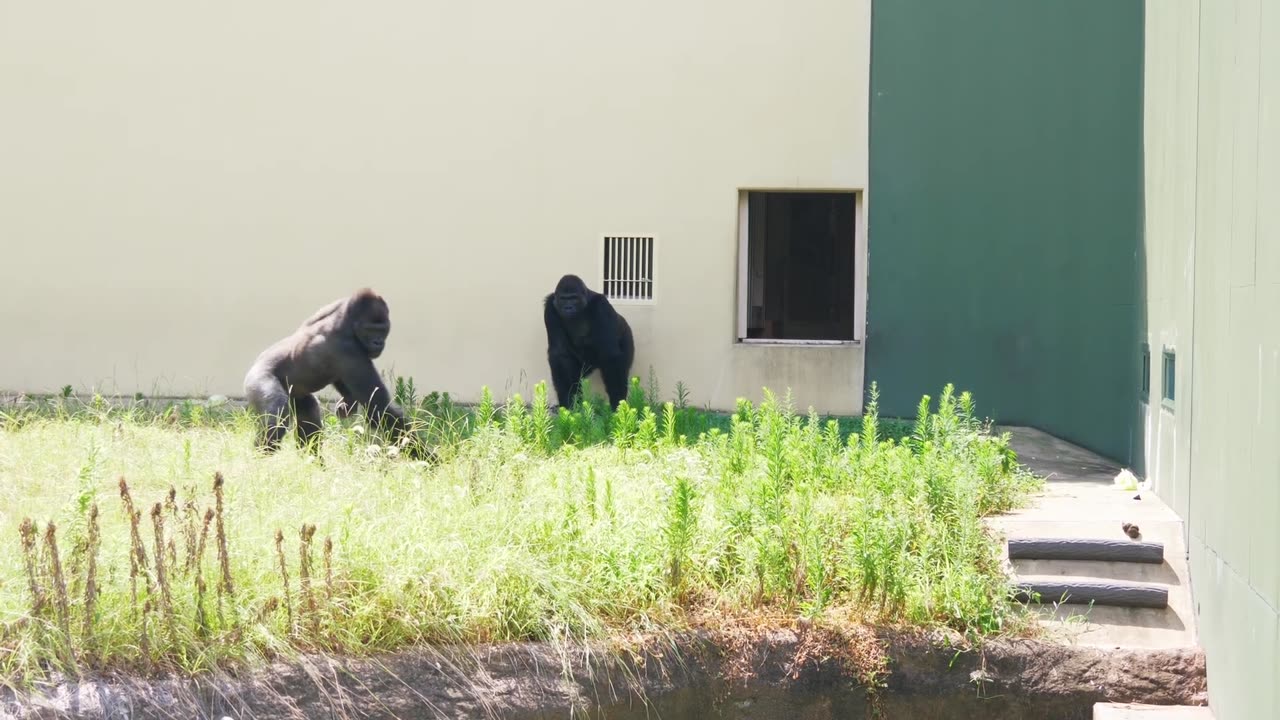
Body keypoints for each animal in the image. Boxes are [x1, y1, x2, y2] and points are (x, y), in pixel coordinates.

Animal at [244, 285, 409, 448]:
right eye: (370, 330)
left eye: (382, 329)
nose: (378, 342)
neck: (348, 321)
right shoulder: (347, 349)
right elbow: (380, 411)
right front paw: (416, 450)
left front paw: (348, 403)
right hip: (257, 380)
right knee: (277, 415)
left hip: (295, 395)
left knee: (308, 413)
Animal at [542, 274, 637, 409]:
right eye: (564, 299)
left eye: (573, 298)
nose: (568, 307)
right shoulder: (550, 307)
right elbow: (560, 354)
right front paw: (567, 401)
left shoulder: (601, 306)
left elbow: (610, 354)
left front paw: (617, 401)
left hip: (627, 337)